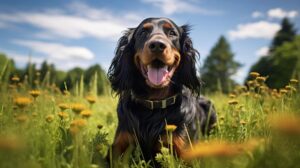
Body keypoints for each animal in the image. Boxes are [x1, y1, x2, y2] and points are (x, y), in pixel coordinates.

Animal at [106, 17, 217, 165]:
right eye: (142, 32)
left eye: (172, 33)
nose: (157, 45)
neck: (155, 103)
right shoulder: (118, 147)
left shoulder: (186, 153)